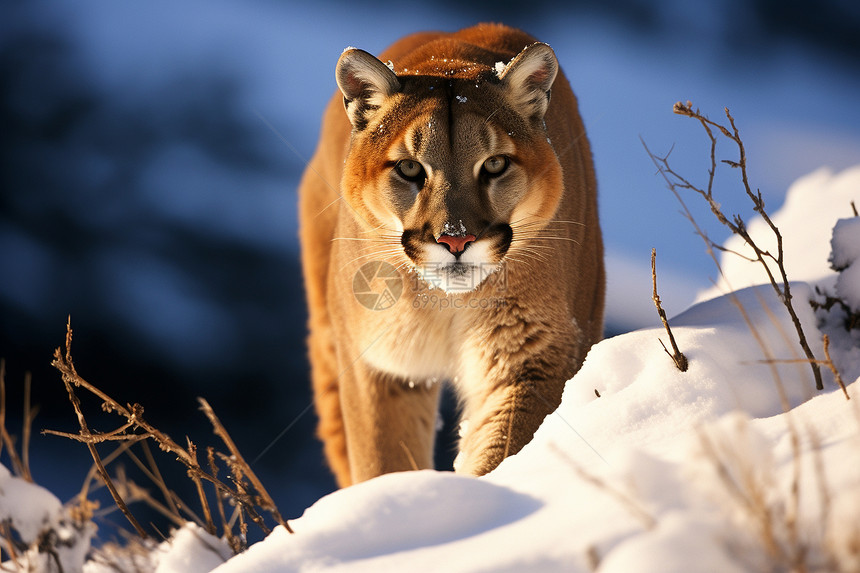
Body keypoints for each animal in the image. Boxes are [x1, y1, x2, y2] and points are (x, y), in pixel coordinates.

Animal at [298, 23, 600, 488]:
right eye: (409, 168)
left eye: (494, 164)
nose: (456, 240)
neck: (445, 302)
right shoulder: (382, 366)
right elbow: (382, 462)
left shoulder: (532, 358)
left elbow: (505, 448)